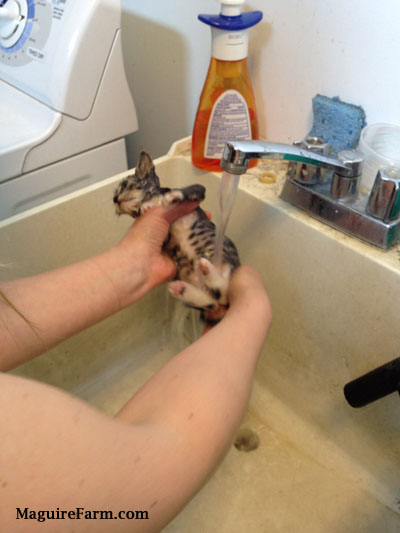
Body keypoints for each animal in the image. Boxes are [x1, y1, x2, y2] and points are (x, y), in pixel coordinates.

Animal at [112, 151, 239, 324]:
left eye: (125, 184)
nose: (114, 200)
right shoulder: (165, 237)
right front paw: (145, 206)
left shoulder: (198, 190)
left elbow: (181, 192)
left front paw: (166, 199)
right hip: (197, 289)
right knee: (210, 299)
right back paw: (182, 288)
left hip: (225, 257)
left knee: (223, 287)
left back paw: (206, 269)